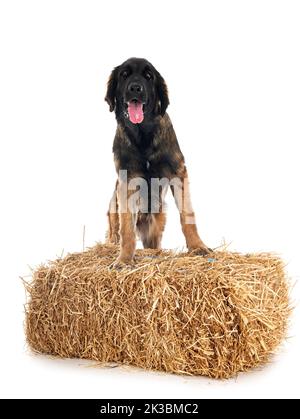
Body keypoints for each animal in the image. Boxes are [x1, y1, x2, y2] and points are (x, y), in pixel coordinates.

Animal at [105, 57, 211, 266]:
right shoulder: (127, 181)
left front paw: (197, 246)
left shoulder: (178, 172)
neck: (143, 135)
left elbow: (187, 215)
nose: (135, 88)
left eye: (148, 76)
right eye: (124, 75)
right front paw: (124, 259)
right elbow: (127, 228)